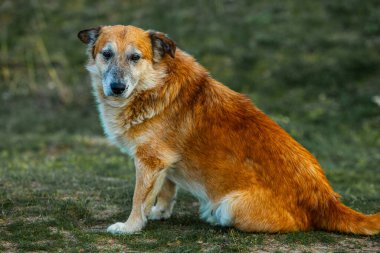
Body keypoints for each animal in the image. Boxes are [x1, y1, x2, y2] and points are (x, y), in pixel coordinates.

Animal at [78, 24, 380, 234]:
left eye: (135, 57)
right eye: (106, 54)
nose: (117, 88)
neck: (154, 85)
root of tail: (326, 201)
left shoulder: (150, 161)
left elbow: (138, 198)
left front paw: (130, 227)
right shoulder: (162, 162)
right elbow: (165, 189)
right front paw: (159, 212)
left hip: (230, 205)